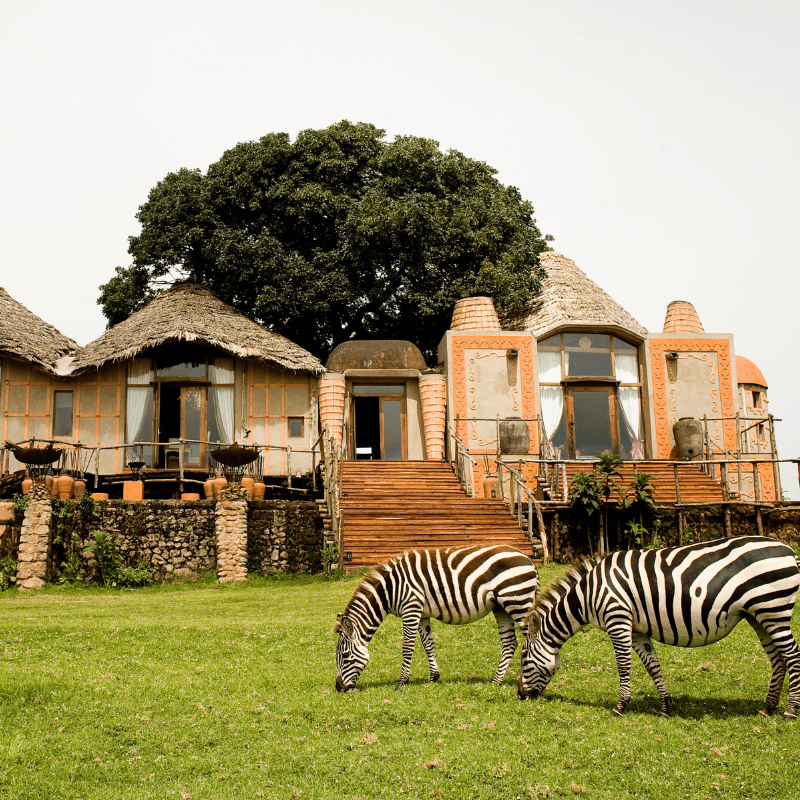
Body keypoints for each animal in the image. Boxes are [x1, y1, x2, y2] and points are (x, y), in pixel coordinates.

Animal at [334, 548, 540, 692]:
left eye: (345, 655)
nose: (339, 688)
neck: (390, 589)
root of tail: (529, 559)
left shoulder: (411, 607)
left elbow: (407, 647)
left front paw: (402, 682)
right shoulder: (422, 613)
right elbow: (428, 644)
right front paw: (434, 677)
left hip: (517, 601)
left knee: (532, 638)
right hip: (501, 607)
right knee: (510, 643)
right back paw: (496, 681)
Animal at [520, 536, 800, 720]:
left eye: (524, 658)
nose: (520, 695)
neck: (588, 594)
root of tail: (788, 549)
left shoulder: (617, 619)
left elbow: (623, 665)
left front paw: (620, 706)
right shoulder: (636, 630)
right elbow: (652, 665)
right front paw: (665, 707)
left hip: (774, 610)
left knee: (792, 655)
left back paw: (790, 711)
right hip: (759, 616)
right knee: (778, 659)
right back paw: (767, 707)